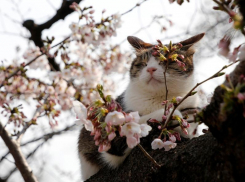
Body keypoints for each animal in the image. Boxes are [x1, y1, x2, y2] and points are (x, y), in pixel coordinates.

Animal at [78, 32, 205, 181]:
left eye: (166, 61)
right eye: (143, 64)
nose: (150, 69)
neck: (159, 99)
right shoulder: (110, 141)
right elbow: (135, 123)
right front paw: (172, 115)